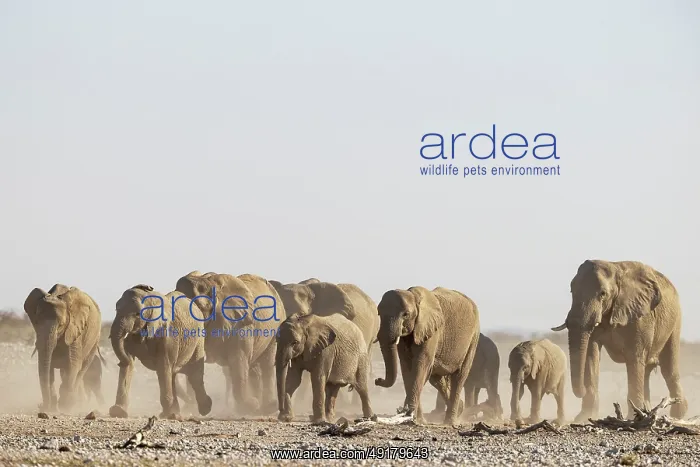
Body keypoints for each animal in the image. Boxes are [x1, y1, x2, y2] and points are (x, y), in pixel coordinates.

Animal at [24, 284, 102, 412]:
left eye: (60, 325)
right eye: (36, 322)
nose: (42, 406)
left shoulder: (74, 330)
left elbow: (72, 364)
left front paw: (64, 406)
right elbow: (48, 367)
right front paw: (52, 407)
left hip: (94, 342)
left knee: (81, 370)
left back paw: (74, 403)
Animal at [108, 284, 212, 419]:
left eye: (137, 314)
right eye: (116, 310)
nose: (119, 363)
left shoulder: (168, 335)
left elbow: (163, 366)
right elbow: (130, 363)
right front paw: (118, 412)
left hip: (199, 339)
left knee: (194, 374)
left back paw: (204, 409)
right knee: (173, 374)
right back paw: (175, 413)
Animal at [175, 271, 286, 415]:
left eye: (198, 309)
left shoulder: (240, 324)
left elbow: (238, 361)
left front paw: (252, 405)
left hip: (276, 328)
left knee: (266, 364)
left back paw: (267, 408)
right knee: (253, 368)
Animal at [374, 286, 480, 425]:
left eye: (405, 314)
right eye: (379, 313)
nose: (377, 380)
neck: (414, 296)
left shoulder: (432, 331)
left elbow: (420, 367)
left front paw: (409, 416)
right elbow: (407, 368)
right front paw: (416, 418)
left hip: (473, 338)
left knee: (459, 376)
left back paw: (449, 422)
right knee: (436, 379)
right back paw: (460, 409)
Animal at [551, 260, 688, 421]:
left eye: (603, 294)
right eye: (572, 291)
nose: (582, 390)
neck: (615, 269)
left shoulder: (640, 317)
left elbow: (634, 357)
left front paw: (633, 418)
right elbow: (591, 354)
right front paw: (584, 418)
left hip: (675, 320)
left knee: (668, 369)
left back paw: (677, 415)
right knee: (647, 370)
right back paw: (648, 412)